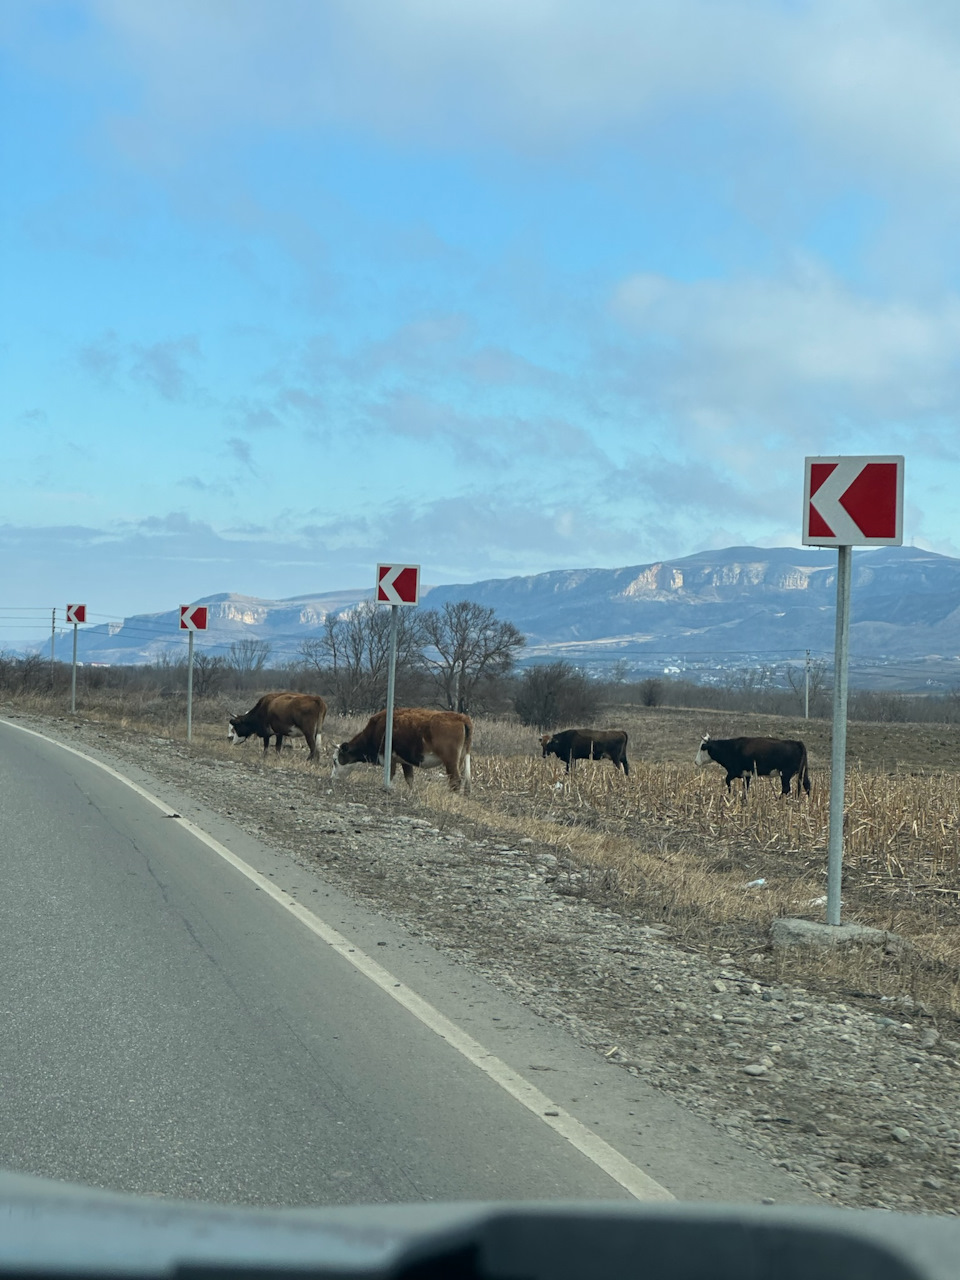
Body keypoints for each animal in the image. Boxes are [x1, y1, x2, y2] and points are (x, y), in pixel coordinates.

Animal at [332, 711, 476, 788]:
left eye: (335, 760)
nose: (332, 778)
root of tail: (461, 717)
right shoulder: (405, 761)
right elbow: (409, 779)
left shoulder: (389, 758)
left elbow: (390, 775)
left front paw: (388, 788)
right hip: (460, 760)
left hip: (450, 761)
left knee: (455, 781)